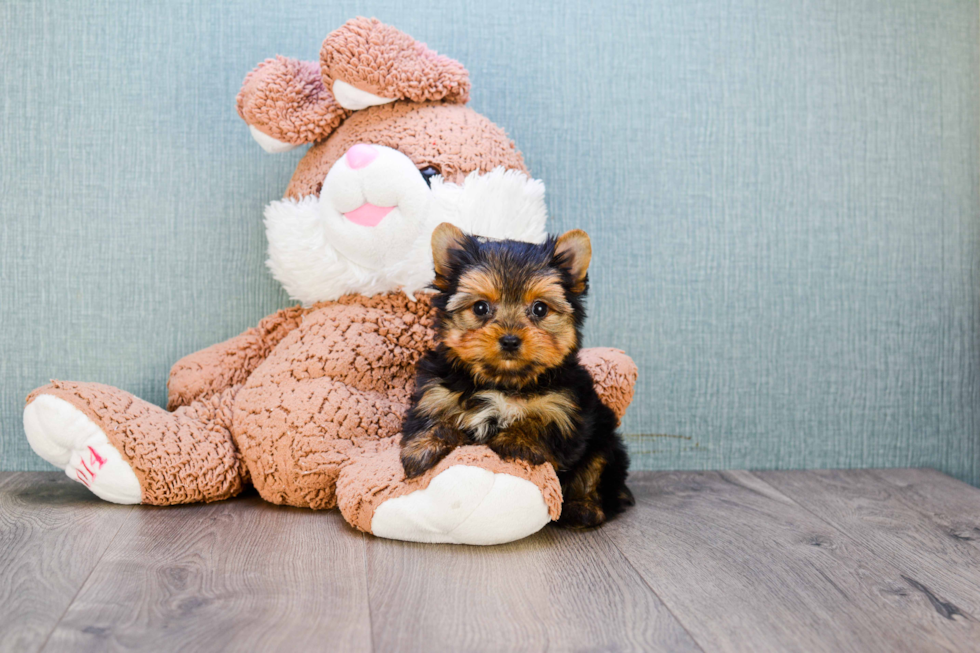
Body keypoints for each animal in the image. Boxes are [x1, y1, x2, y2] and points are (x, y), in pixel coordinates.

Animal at [400, 222, 636, 528]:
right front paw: (422, 450)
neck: (503, 381)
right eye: (480, 308)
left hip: (605, 441)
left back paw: (583, 508)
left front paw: (516, 441)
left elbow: (541, 422)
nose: (510, 340)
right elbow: (432, 419)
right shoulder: (435, 392)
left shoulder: (565, 408)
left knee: (596, 470)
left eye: (540, 308)